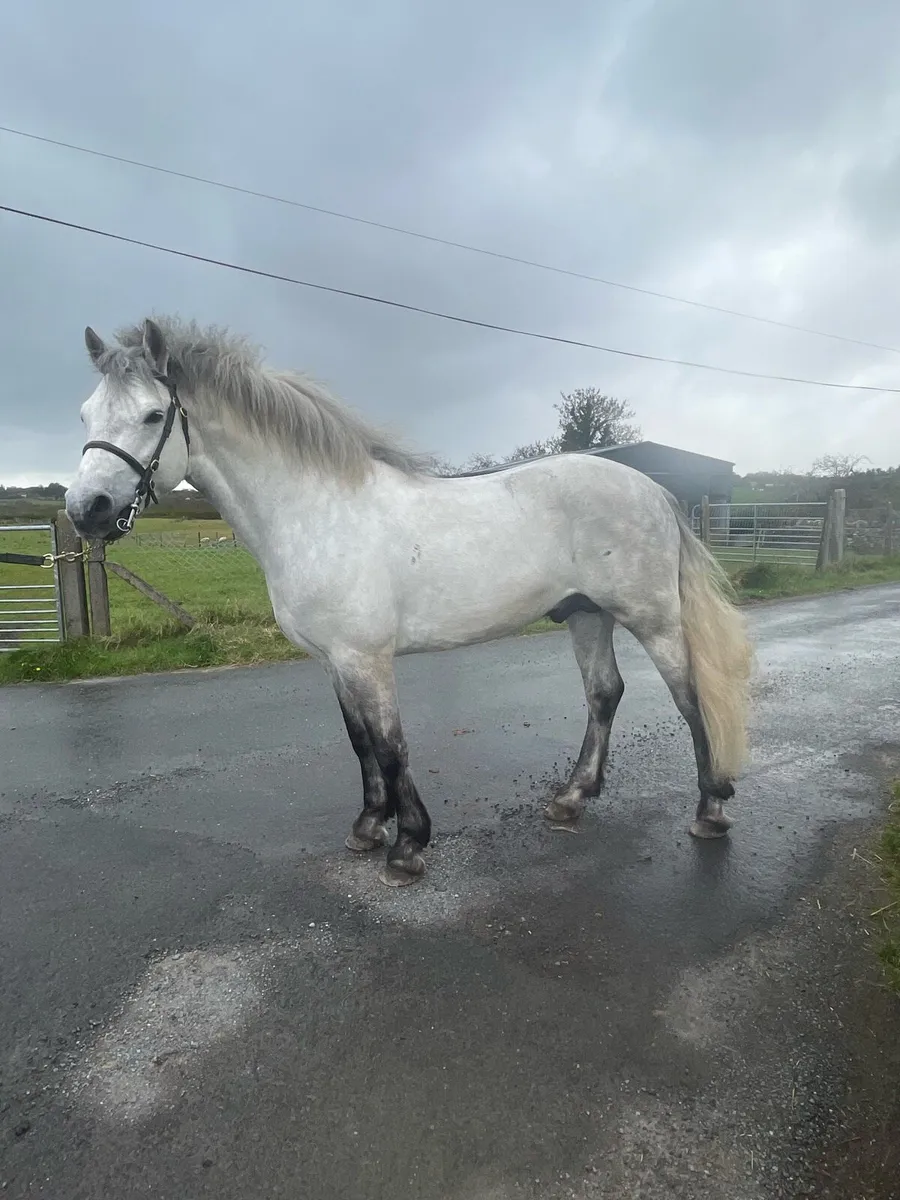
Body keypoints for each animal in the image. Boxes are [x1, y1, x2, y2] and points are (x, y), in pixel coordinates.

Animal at [65, 316, 754, 887]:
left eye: (153, 415)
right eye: (84, 415)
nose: (85, 510)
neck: (316, 512)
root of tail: (654, 491)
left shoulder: (367, 657)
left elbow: (391, 744)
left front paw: (408, 845)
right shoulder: (334, 661)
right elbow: (360, 742)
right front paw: (369, 828)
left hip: (652, 619)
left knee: (689, 697)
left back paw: (710, 809)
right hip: (587, 614)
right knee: (604, 693)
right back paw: (570, 799)